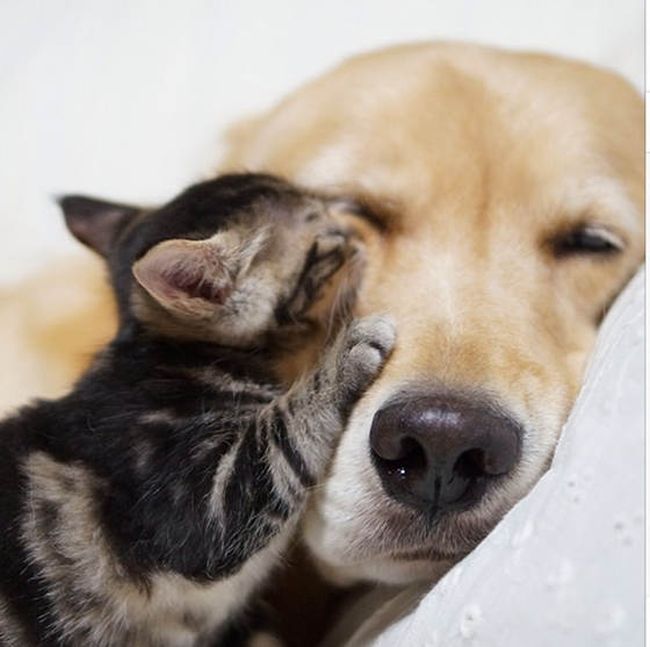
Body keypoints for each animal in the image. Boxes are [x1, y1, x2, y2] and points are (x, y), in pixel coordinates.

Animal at [0, 173, 394, 647]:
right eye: (328, 242)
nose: (355, 234)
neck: (187, 355)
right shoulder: (194, 500)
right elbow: (278, 437)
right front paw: (347, 351)